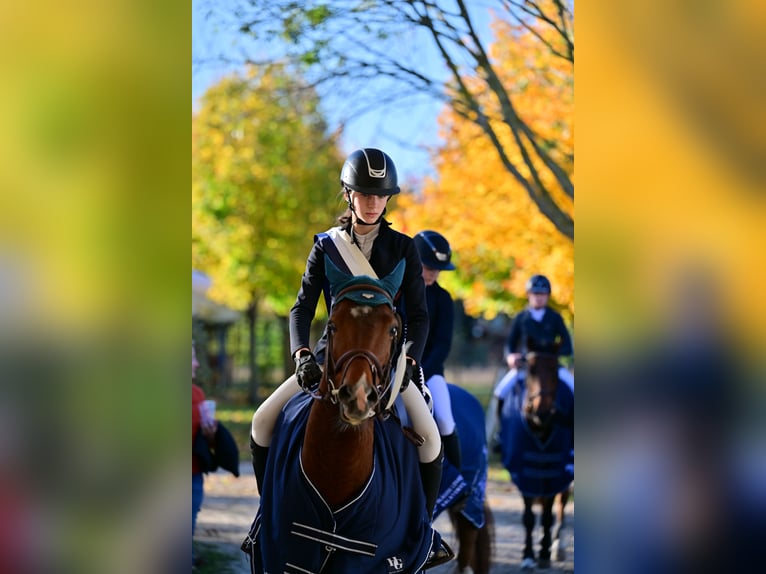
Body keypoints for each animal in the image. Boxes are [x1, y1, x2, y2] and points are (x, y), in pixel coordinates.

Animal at [244, 264, 450, 572]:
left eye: (393, 329)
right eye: (331, 326)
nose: (357, 397)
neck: (337, 468)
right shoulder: (283, 554)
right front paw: (306, 367)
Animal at [498, 342, 576, 572]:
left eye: (554, 370)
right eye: (530, 369)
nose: (542, 412)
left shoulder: (553, 470)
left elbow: (548, 514)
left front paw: (543, 553)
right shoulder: (524, 473)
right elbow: (529, 517)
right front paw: (527, 556)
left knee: (561, 503)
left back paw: (558, 546)